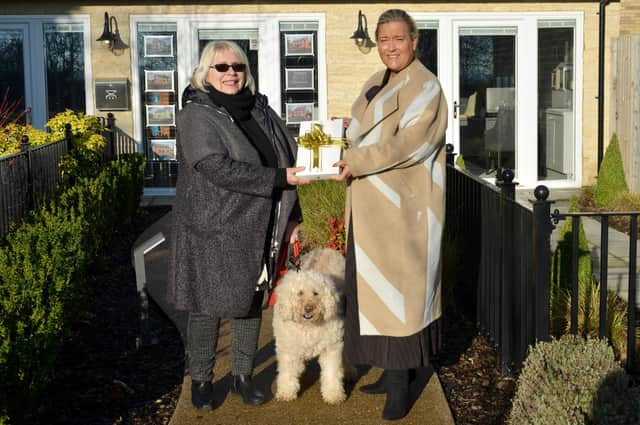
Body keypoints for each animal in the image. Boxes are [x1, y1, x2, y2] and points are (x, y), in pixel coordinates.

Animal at [272, 247, 350, 402]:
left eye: (316, 293)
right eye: (300, 293)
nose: (309, 308)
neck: (308, 326)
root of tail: (326, 249)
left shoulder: (331, 347)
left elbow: (332, 372)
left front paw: (333, 394)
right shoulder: (288, 348)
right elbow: (287, 372)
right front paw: (286, 392)